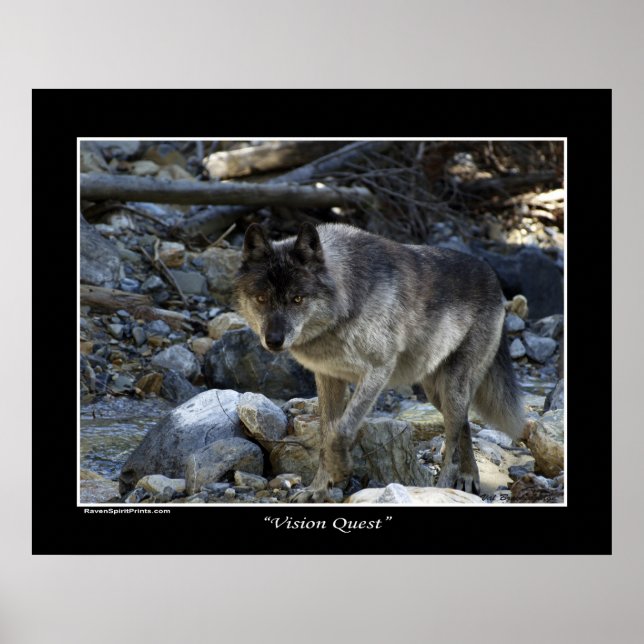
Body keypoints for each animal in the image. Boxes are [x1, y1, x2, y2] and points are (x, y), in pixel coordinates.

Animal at [235, 222, 524, 502]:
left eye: (297, 299)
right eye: (261, 298)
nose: (273, 341)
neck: (346, 302)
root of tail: (493, 277)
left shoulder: (378, 370)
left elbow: (341, 432)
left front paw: (340, 470)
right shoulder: (329, 376)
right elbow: (326, 435)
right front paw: (317, 489)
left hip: (453, 388)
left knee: (453, 442)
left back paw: (443, 489)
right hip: (437, 394)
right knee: (464, 424)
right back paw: (469, 476)